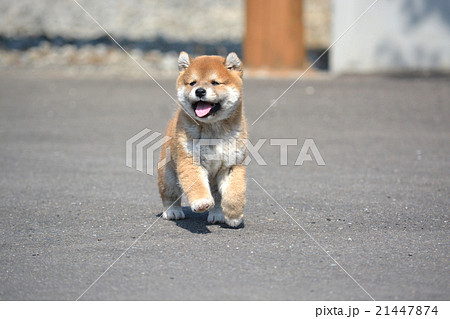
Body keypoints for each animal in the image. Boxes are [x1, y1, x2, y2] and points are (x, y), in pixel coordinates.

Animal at [157, 52, 246, 228]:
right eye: (192, 83)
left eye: (215, 82)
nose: (199, 91)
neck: (213, 129)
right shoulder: (190, 160)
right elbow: (197, 185)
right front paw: (201, 202)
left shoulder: (232, 164)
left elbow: (235, 192)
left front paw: (234, 215)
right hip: (168, 176)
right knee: (170, 196)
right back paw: (172, 211)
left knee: (218, 199)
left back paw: (218, 214)